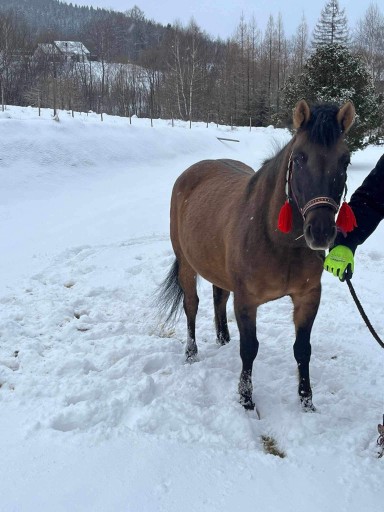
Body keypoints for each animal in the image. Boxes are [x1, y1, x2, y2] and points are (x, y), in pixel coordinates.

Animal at [158, 100, 356, 412]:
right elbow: (249, 349)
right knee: (192, 306)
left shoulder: (308, 296)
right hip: (187, 266)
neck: (278, 241)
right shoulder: (246, 300)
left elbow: (302, 349)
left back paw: (223, 339)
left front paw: (307, 401)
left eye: (345, 160)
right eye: (299, 157)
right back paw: (191, 353)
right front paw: (246, 399)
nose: (321, 232)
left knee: (218, 297)